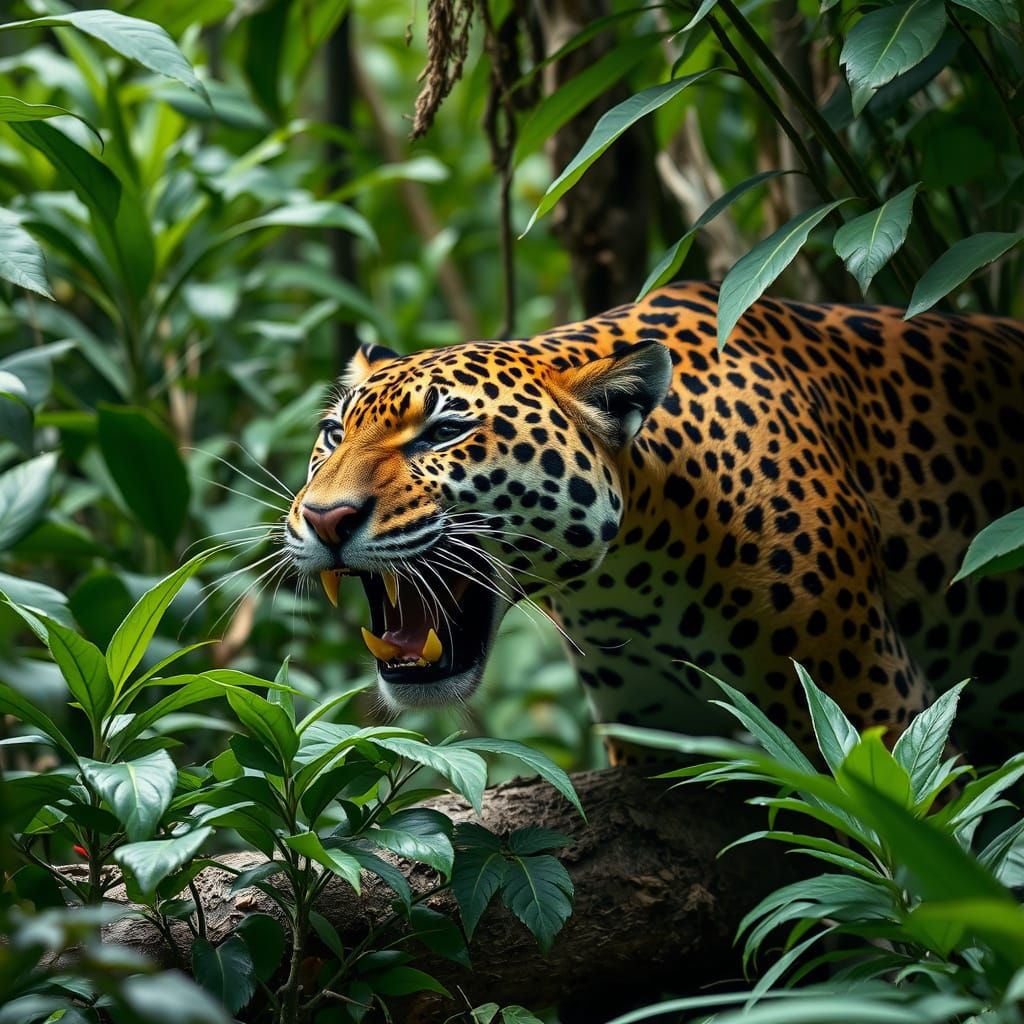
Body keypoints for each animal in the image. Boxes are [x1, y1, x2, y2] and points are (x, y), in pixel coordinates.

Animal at [284, 281, 1024, 762]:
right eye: (332, 434)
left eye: (443, 433)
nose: (325, 518)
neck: (632, 576)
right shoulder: (653, 741)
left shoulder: (880, 713)